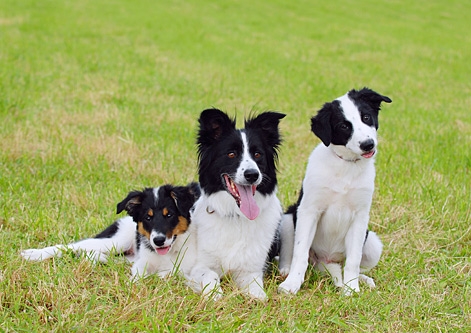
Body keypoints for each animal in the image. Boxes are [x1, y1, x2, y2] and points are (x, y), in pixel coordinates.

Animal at [189, 107, 286, 300]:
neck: (237, 216)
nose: (252, 175)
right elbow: (209, 275)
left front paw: (258, 298)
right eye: (231, 154)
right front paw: (214, 295)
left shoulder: (250, 271)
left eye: (257, 154)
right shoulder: (199, 265)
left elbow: (257, 290)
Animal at [278, 87, 392, 294]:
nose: (368, 144)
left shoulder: (360, 217)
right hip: (289, 219)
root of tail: (326, 261)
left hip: (372, 242)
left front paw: (351, 288)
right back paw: (286, 271)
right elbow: (300, 254)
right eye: (344, 126)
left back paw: (362, 279)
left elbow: (353, 260)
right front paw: (292, 284)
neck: (346, 165)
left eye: (366, 117)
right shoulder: (309, 211)